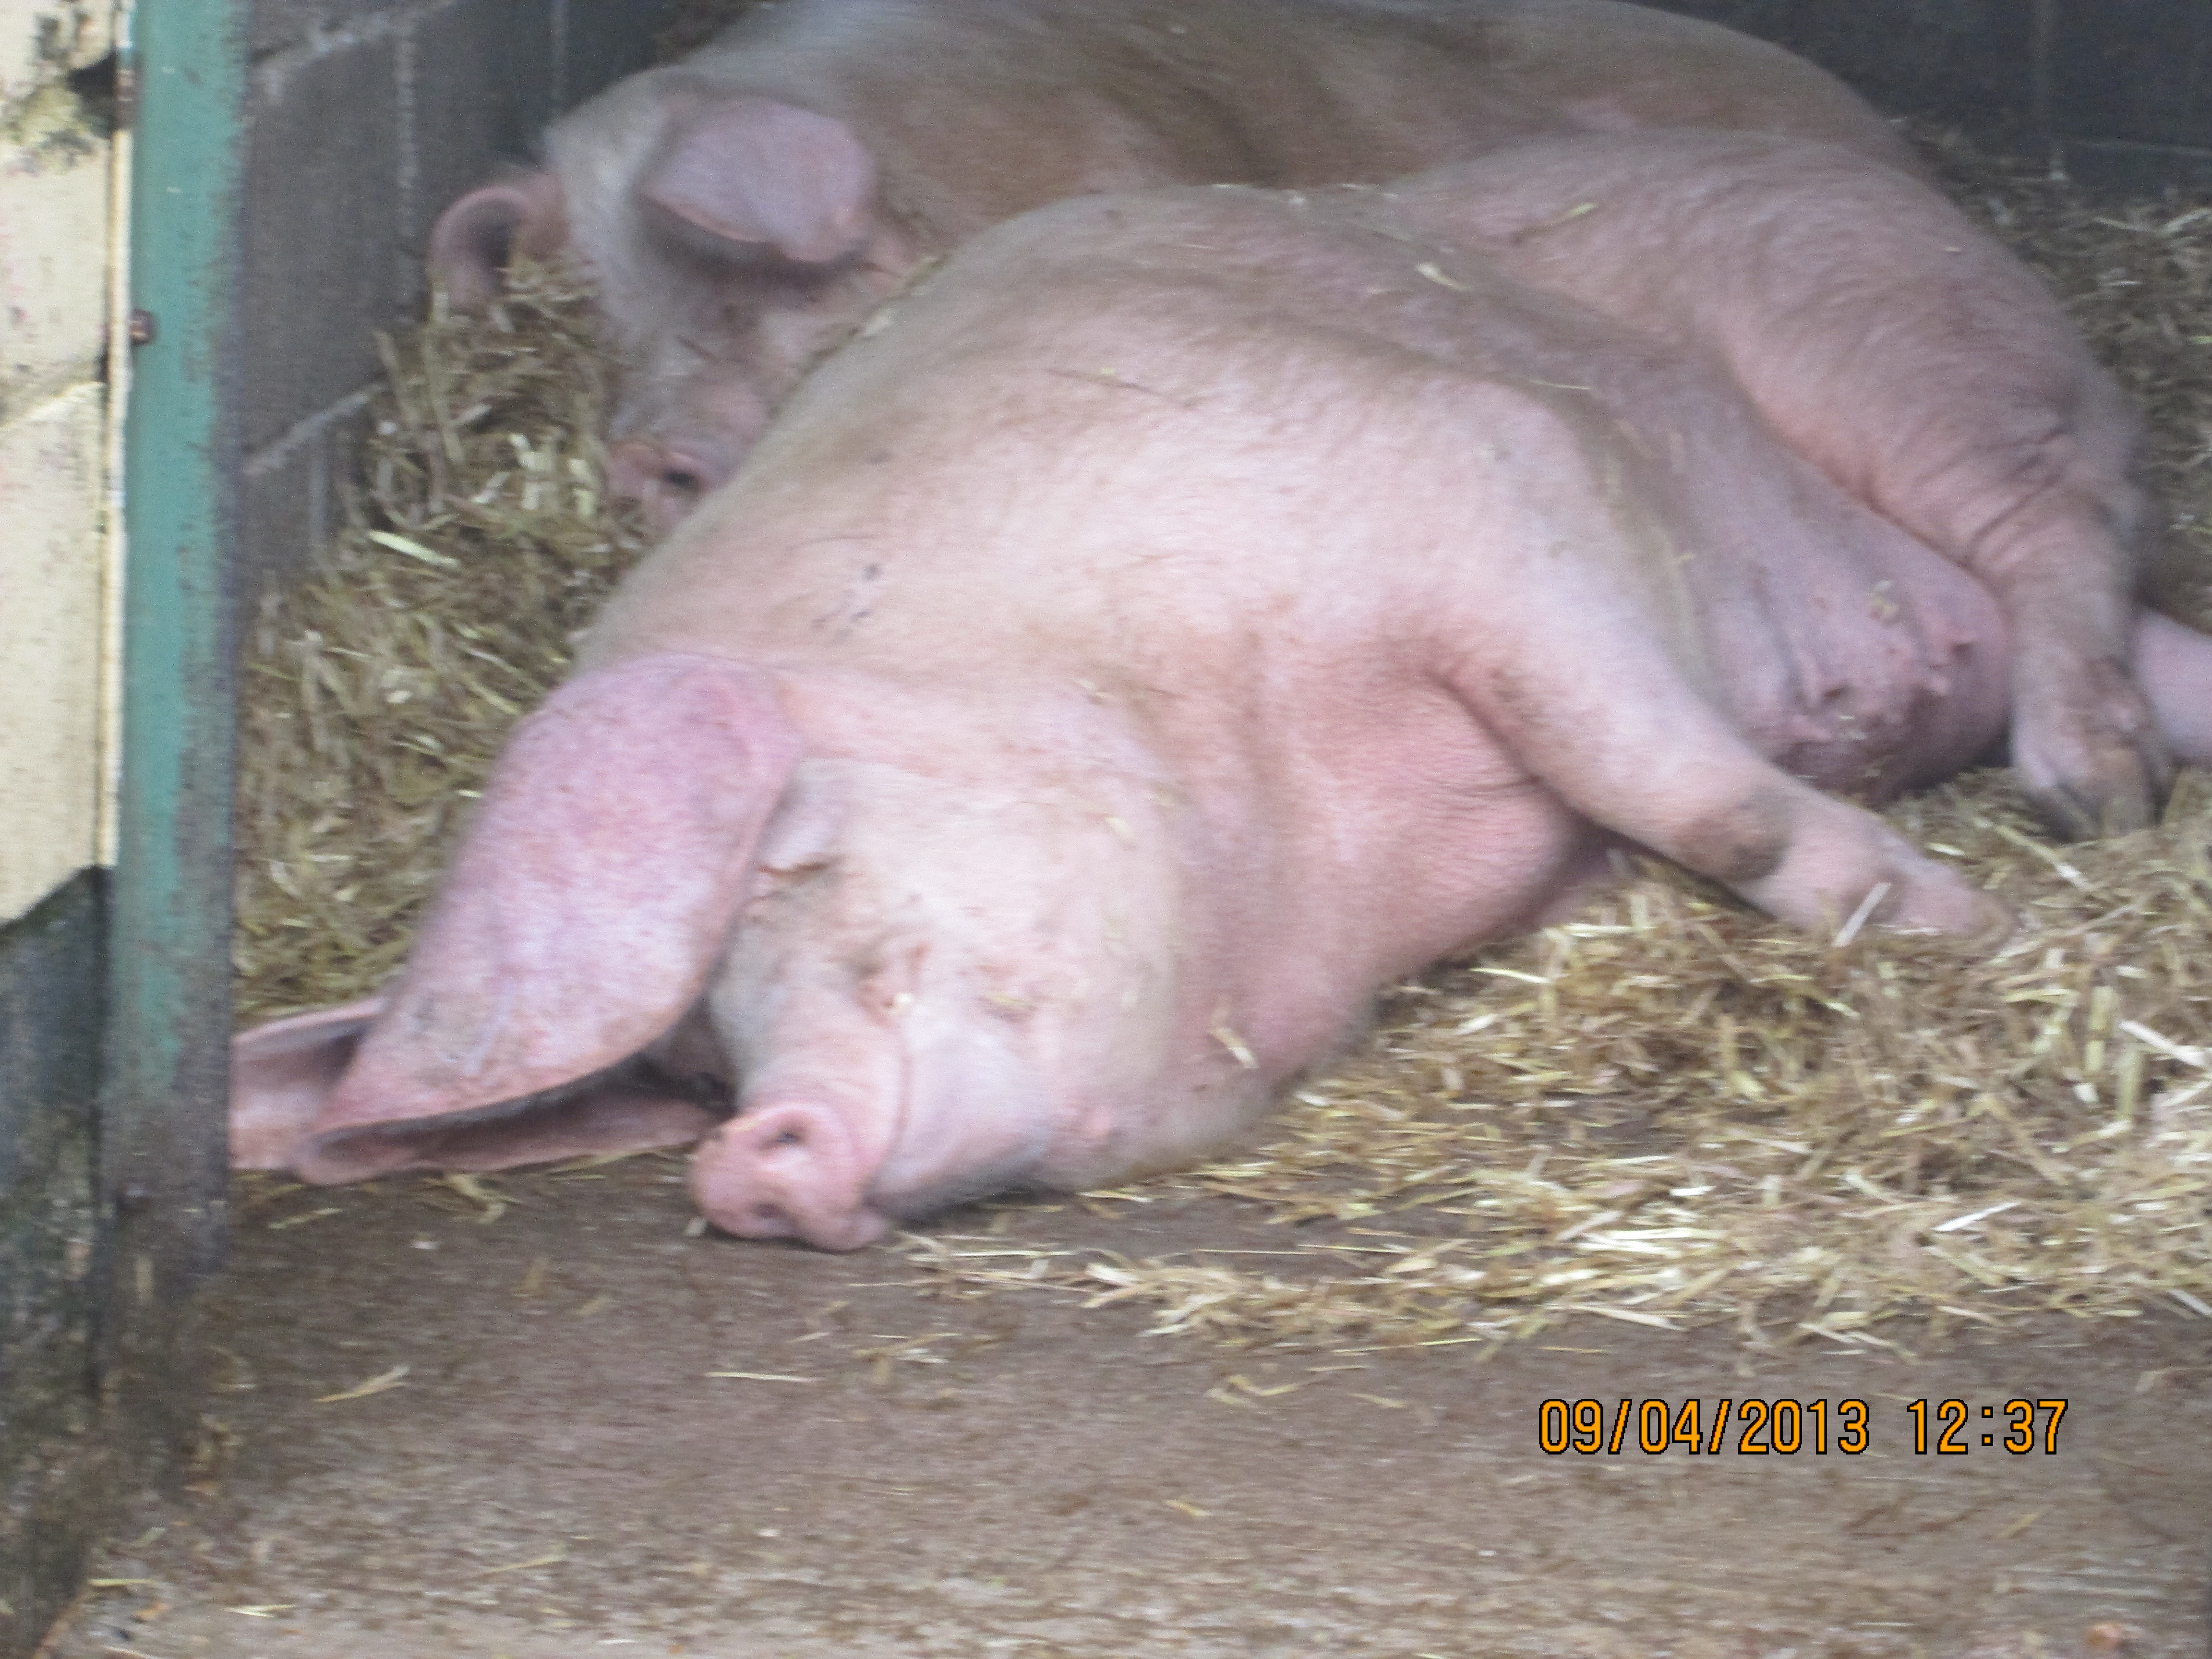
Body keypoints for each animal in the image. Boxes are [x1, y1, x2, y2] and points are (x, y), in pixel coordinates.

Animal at [236, 172, 2212, 1250]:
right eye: (696, 1064)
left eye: (799, 862)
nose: (748, 1157)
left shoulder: (1488, 482)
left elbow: (1684, 784)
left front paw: (1952, 923)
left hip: (1908, 356)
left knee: (2058, 534)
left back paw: (2083, 791)